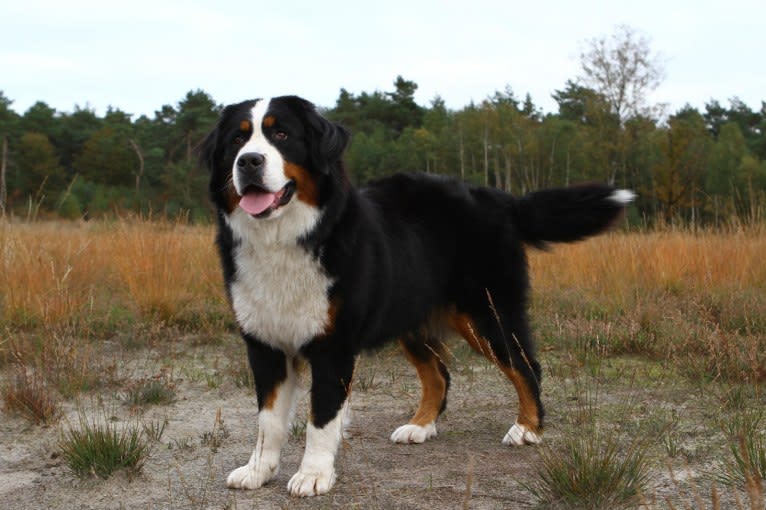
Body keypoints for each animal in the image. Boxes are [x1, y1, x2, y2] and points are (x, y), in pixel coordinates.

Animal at [200, 93, 636, 496]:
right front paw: (258, 470)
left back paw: (527, 428)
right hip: (413, 319)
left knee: (526, 366)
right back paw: (420, 426)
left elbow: (320, 418)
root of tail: (495, 196)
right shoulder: (265, 343)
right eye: (237, 140)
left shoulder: (333, 346)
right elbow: (269, 420)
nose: (249, 162)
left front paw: (312, 475)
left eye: (282, 135)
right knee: (439, 375)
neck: (286, 238)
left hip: (487, 315)